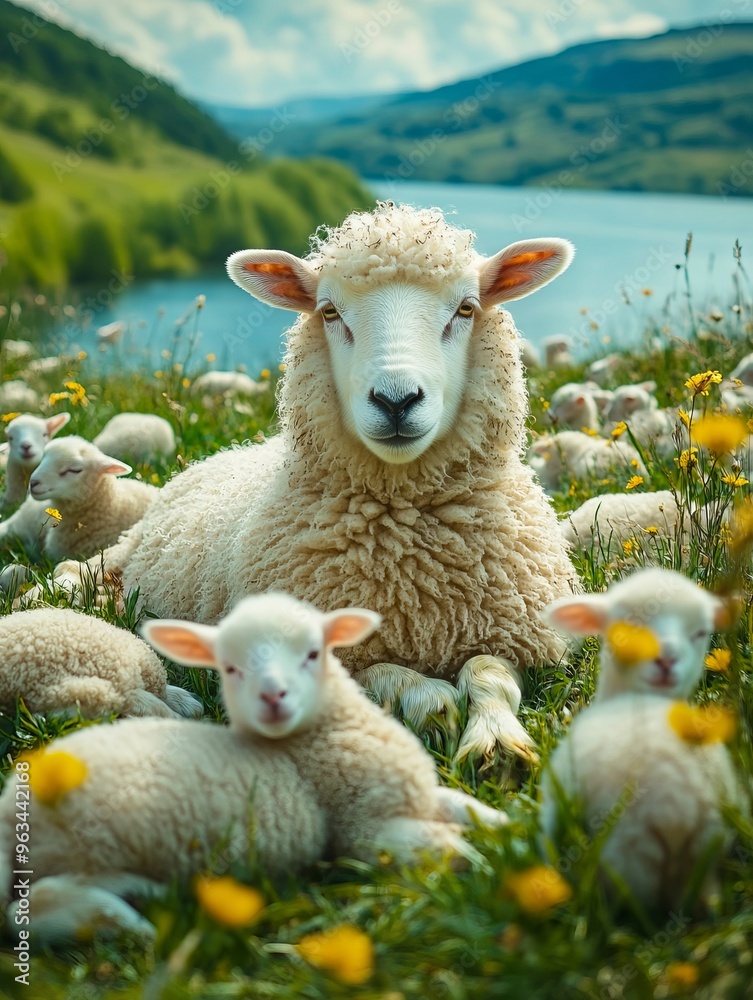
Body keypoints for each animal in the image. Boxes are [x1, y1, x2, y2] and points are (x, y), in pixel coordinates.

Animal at [72, 203, 580, 764]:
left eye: (466, 309)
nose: (396, 400)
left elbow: (490, 675)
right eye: (330, 312)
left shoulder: (515, 632)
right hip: (123, 551)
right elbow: (394, 678)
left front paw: (497, 741)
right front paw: (435, 705)